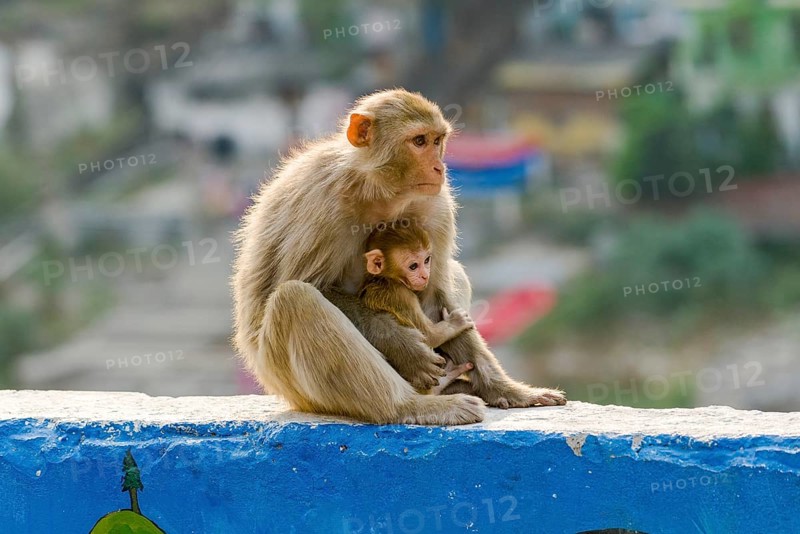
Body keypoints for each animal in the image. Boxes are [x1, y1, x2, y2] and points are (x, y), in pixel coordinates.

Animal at [359, 223, 476, 394]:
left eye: (426, 260)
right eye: (413, 266)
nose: (425, 275)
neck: (386, 279)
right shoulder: (403, 295)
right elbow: (430, 336)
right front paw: (455, 322)